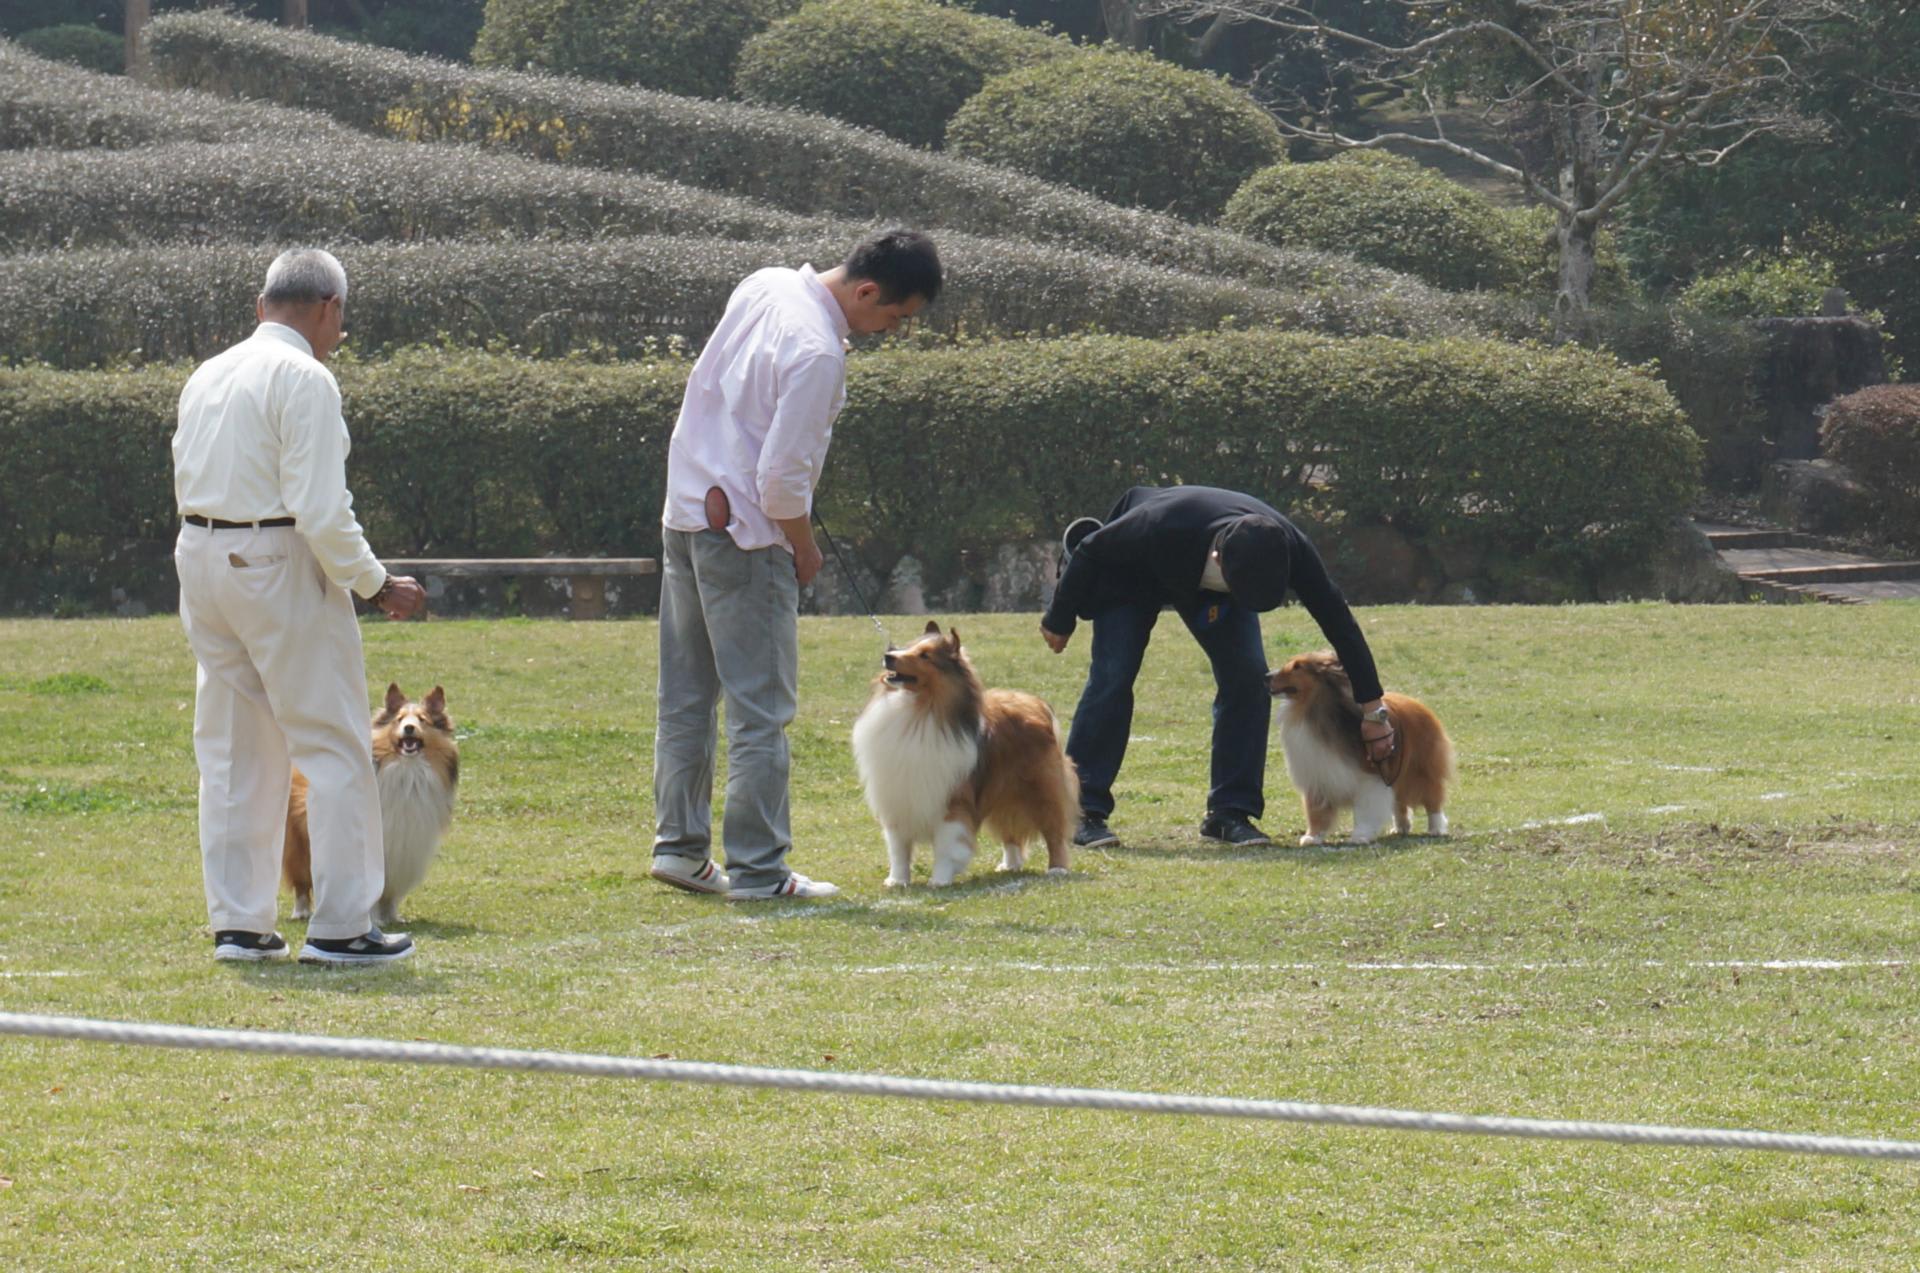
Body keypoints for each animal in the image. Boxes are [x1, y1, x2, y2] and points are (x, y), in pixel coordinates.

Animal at [286, 687, 458, 925]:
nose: (409, 728)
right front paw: (374, 919)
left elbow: (391, 890)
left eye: (423, 719)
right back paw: (302, 911)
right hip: (299, 839)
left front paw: (392, 916)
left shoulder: (405, 846)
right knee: (301, 878)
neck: (408, 772)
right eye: (399, 719)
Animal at [856, 625, 1082, 887]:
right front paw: (897, 881)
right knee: (1010, 829)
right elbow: (898, 849)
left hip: (1040, 790)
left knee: (1054, 831)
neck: (919, 710)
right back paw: (1010, 865)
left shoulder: (953, 802)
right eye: (907, 647)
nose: (888, 655)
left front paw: (940, 880)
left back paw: (1057, 869)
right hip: (1002, 791)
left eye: (925, 656)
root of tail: (1034, 702)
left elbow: (946, 847)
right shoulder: (898, 799)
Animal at [1267, 652, 1443, 852]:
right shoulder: (1317, 776)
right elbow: (1316, 811)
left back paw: (1436, 828)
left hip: (1419, 771)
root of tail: (1416, 702)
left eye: (1298, 667)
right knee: (1400, 803)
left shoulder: (1370, 777)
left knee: (1433, 798)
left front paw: (1360, 835)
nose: (1266, 676)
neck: (1315, 712)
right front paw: (1313, 837)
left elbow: (1365, 810)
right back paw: (1400, 827)